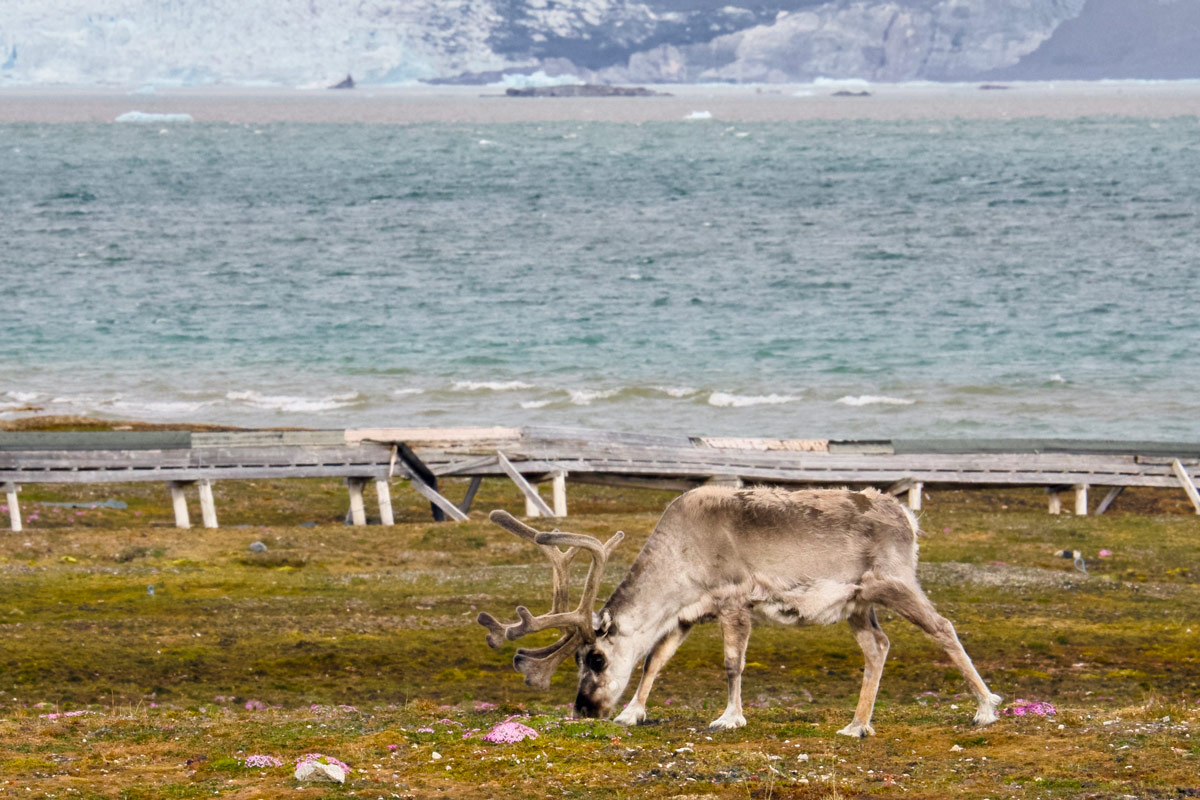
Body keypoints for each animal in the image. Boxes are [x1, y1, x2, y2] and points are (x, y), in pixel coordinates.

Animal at [478, 485, 1001, 736]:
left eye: (596, 658)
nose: (584, 709)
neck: (681, 558)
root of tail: (907, 517)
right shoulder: (688, 613)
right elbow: (654, 661)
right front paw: (632, 713)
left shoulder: (733, 600)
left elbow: (732, 664)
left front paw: (730, 717)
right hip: (857, 603)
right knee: (879, 645)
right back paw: (856, 725)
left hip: (894, 583)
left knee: (943, 627)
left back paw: (985, 708)